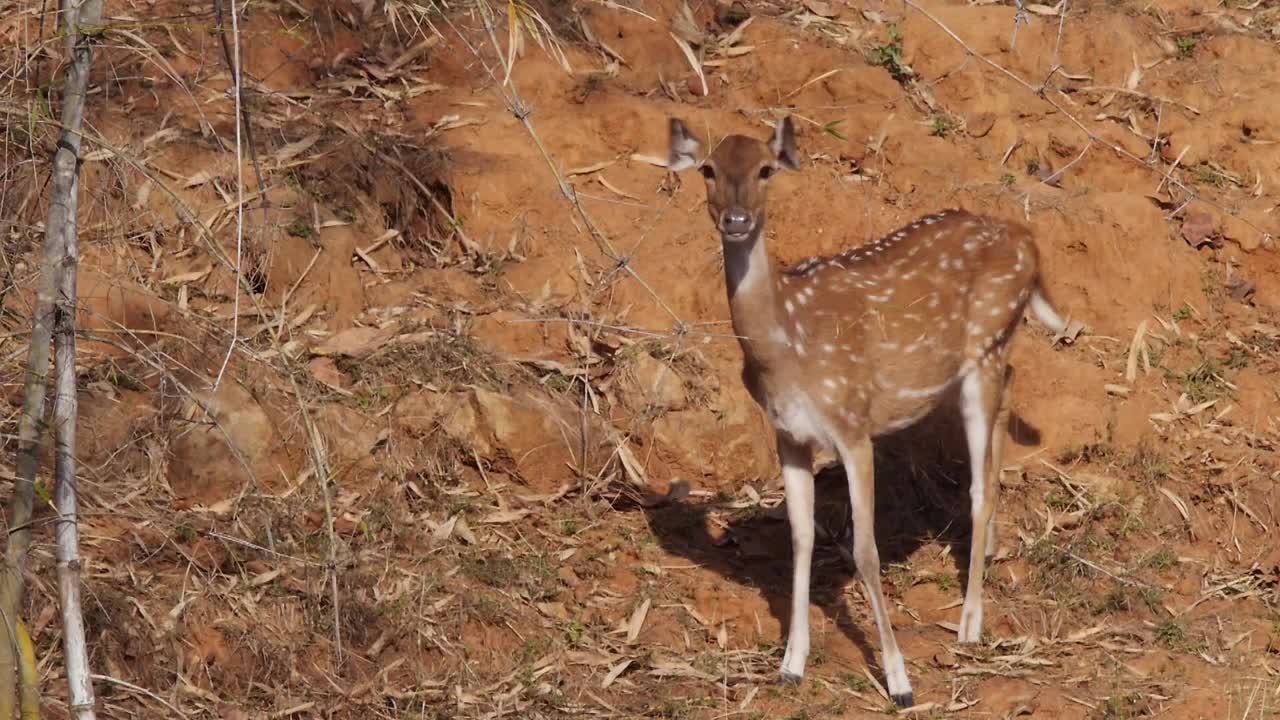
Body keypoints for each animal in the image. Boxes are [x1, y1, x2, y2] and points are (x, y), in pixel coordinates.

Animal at [670, 114, 1070, 702]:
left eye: (766, 169)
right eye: (708, 169)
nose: (736, 220)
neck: (787, 347)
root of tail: (1030, 243)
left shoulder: (853, 425)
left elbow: (865, 551)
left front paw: (900, 681)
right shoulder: (789, 436)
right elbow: (801, 539)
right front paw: (791, 664)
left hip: (986, 348)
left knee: (977, 487)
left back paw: (971, 624)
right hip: (989, 354)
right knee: (1011, 396)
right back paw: (993, 551)